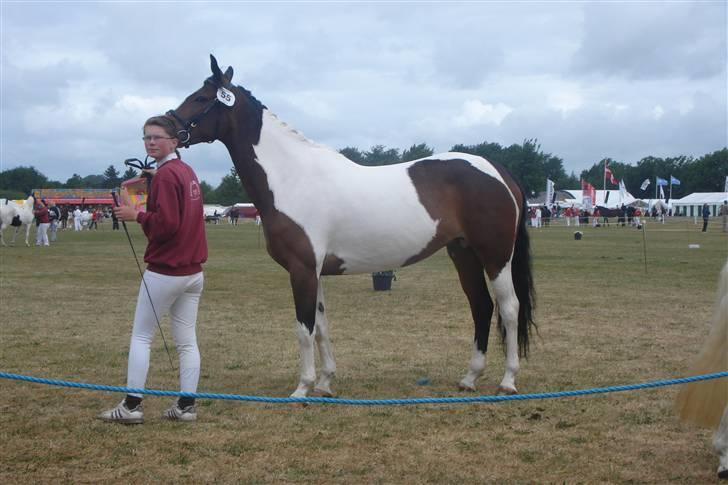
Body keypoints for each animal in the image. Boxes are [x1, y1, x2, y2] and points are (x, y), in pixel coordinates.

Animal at [166, 56, 536, 398]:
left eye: (201, 97)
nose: (165, 126)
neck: (292, 177)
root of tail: (498, 171)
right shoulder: (313, 271)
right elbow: (321, 327)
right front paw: (325, 383)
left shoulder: (301, 269)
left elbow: (304, 329)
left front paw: (302, 387)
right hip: (464, 253)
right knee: (481, 306)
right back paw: (470, 378)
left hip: (496, 255)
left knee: (509, 308)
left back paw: (508, 381)